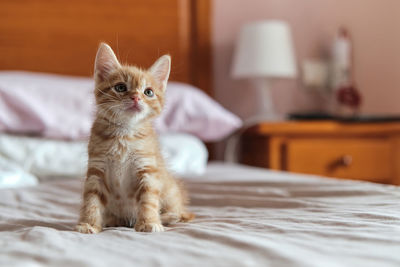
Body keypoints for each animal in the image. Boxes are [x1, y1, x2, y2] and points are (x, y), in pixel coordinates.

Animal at [76, 43, 194, 233]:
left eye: (148, 92)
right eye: (120, 87)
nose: (136, 97)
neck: (124, 134)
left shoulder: (147, 168)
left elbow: (148, 199)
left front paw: (149, 222)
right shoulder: (96, 169)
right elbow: (91, 200)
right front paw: (89, 223)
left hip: (170, 190)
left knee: (184, 214)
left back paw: (168, 217)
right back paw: (113, 220)